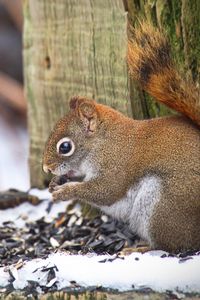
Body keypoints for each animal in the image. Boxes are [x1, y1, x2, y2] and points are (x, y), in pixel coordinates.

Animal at [42, 21, 200, 253]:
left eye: (65, 147)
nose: (46, 168)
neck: (104, 142)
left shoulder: (117, 165)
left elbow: (105, 190)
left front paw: (65, 191)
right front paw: (56, 182)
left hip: (164, 206)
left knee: (175, 245)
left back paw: (142, 248)